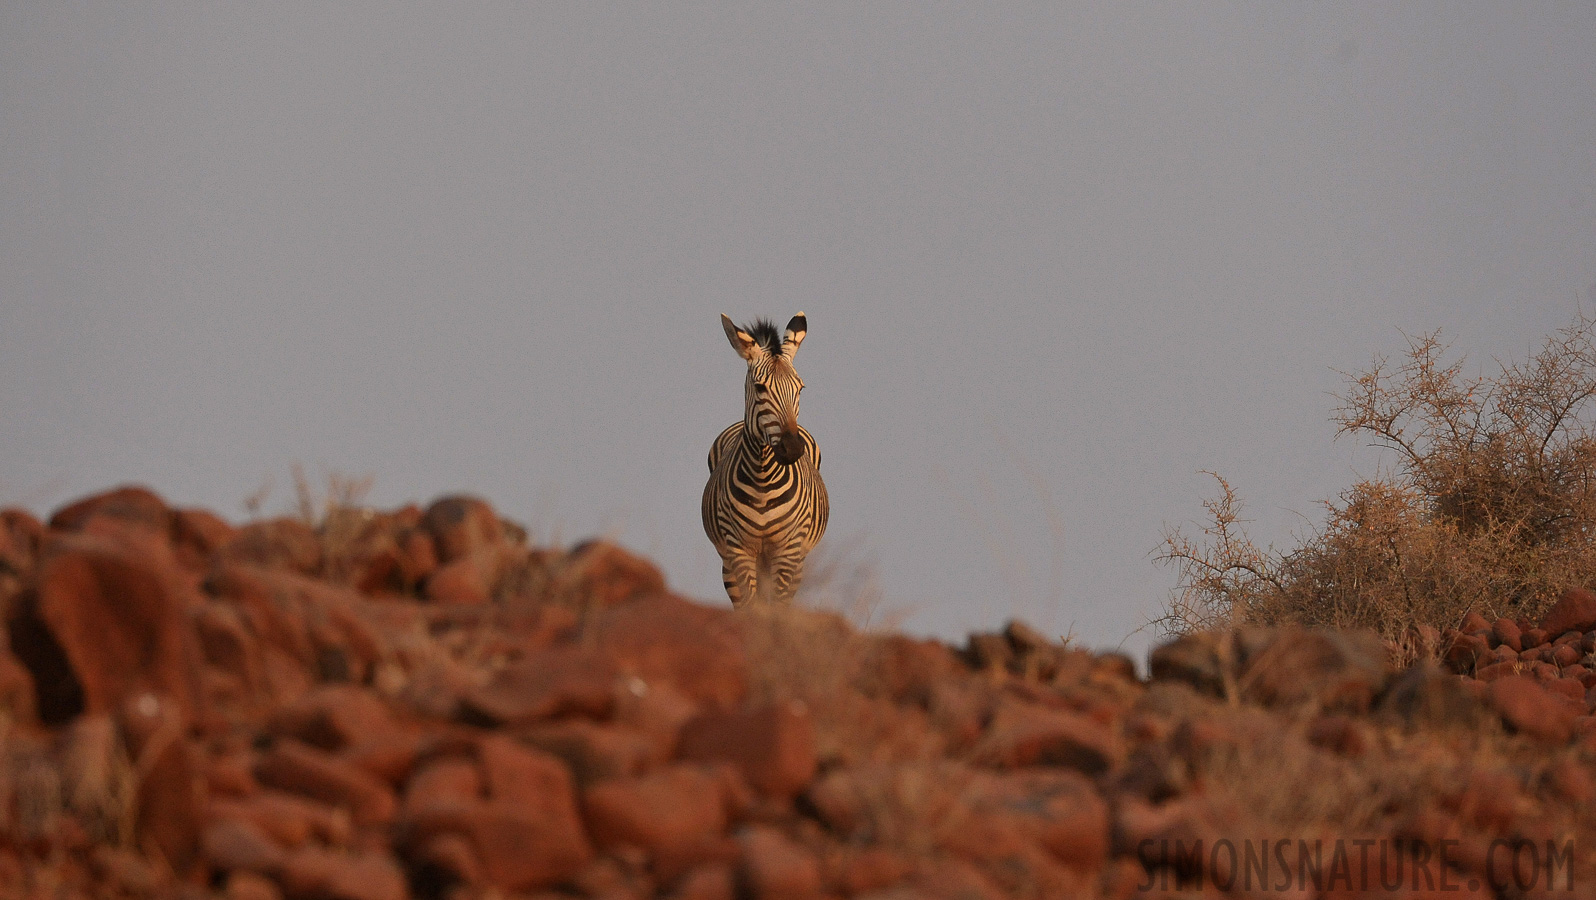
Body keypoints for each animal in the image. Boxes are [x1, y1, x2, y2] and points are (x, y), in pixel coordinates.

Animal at [702, 312, 829, 609]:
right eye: (760, 388)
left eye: (800, 388)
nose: (792, 448)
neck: (763, 478)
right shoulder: (739, 549)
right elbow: (752, 608)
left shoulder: (788, 549)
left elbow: (777, 608)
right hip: (729, 561)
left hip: (795, 560)